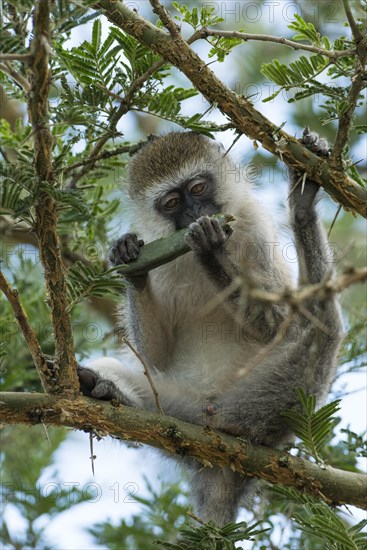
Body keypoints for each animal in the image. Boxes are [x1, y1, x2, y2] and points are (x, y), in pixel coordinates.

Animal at [79, 129, 344, 528]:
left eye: (199, 187)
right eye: (172, 202)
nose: (194, 213)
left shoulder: (254, 228)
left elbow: (279, 325)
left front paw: (211, 252)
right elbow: (155, 356)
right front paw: (129, 258)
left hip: (264, 401)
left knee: (322, 326)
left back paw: (302, 208)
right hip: (177, 411)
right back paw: (113, 395)